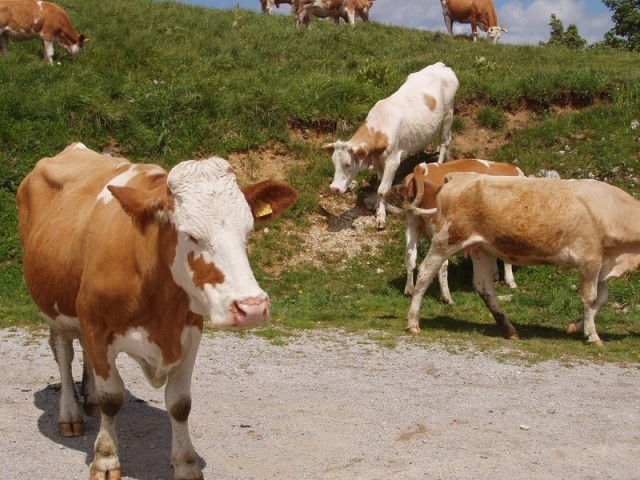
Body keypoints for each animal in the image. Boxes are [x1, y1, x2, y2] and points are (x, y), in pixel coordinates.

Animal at [16, 142, 298, 480]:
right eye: (190, 234)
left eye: (248, 230)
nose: (252, 307)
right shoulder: (97, 327)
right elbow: (113, 398)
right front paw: (106, 458)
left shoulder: (189, 333)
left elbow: (180, 404)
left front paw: (186, 464)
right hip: (54, 309)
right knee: (63, 353)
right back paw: (70, 414)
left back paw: (90, 399)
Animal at [322, 61, 458, 230]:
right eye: (334, 163)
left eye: (347, 164)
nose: (334, 188)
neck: (379, 131)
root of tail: (440, 65)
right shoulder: (380, 162)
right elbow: (380, 185)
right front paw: (377, 206)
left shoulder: (393, 161)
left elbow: (382, 189)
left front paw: (381, 216)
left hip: (448, 113)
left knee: (445, 141)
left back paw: (439, 163)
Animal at [382, 159, 524, 302]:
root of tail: (420, 169)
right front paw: (510, 282)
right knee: (440, 264)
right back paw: (447, 297)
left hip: (411, 224)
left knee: (410, 254)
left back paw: (409, 290)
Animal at [402, 172, 640, 344]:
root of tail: (457, 176)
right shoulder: (590, 259)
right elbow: (590, 298)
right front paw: (593, 336)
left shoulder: (603, 263)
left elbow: (602, 298)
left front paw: (575, 326)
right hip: (446, 240)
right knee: (425, 273)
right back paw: (413, 322)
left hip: (480, 248)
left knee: (484, 286)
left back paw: (509, 330)